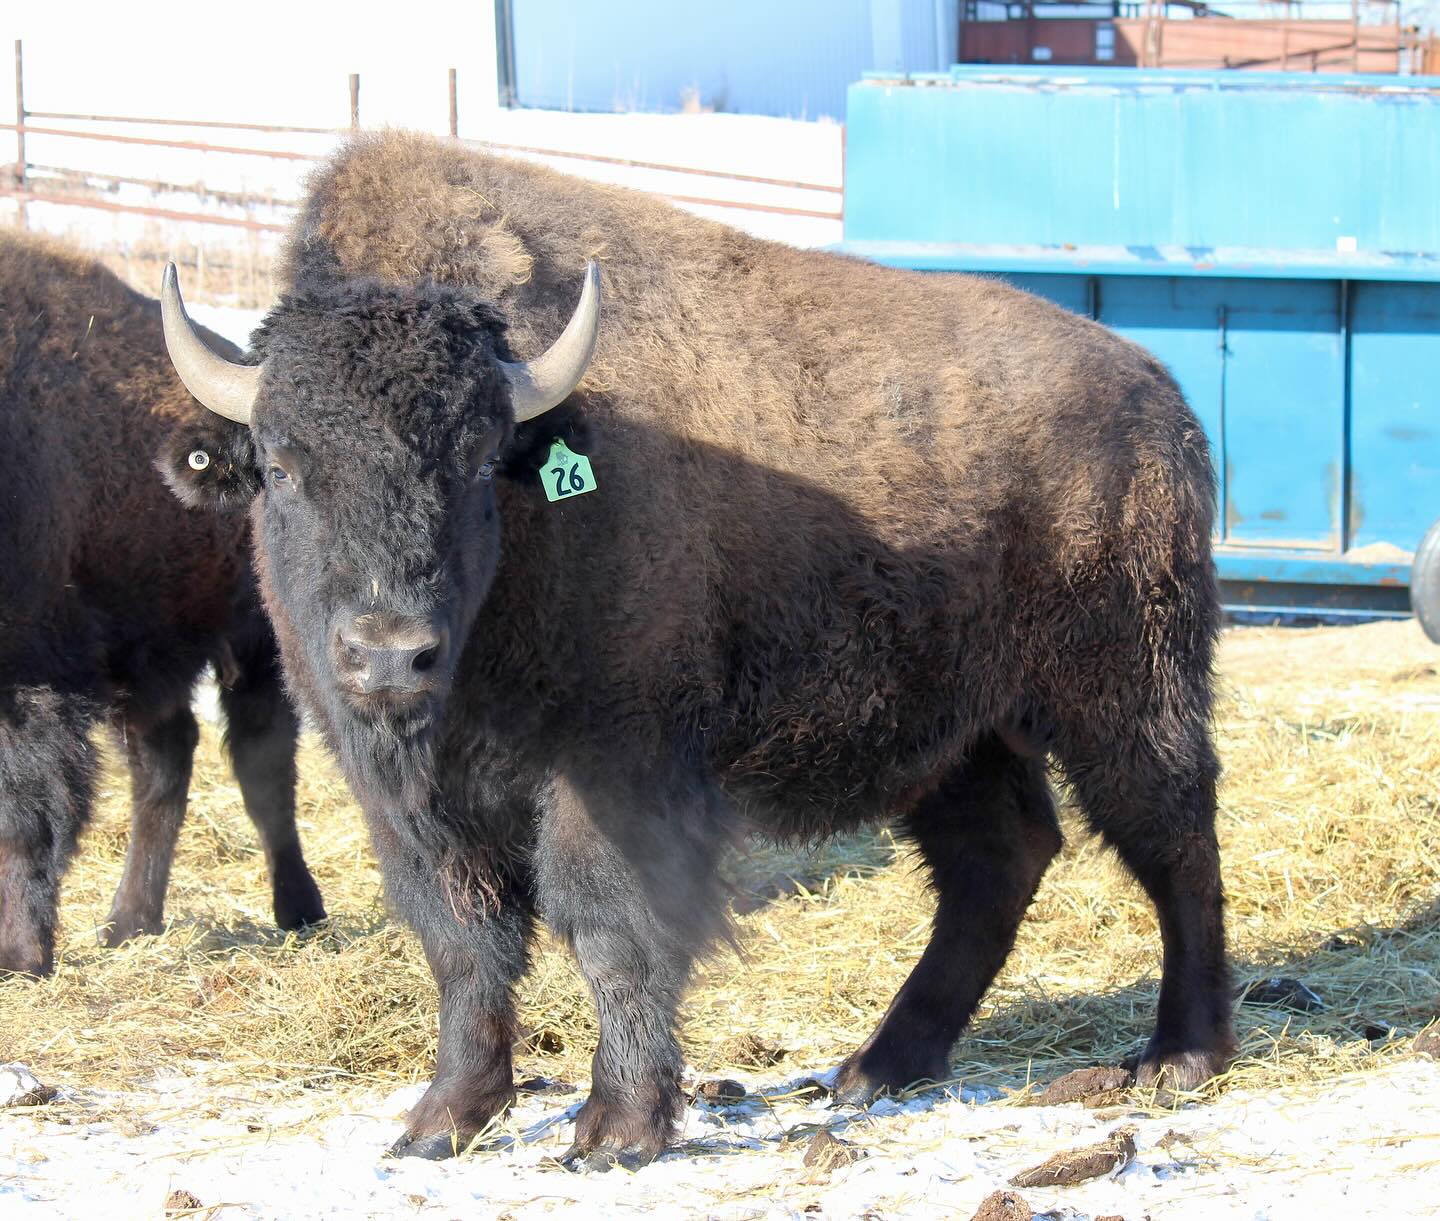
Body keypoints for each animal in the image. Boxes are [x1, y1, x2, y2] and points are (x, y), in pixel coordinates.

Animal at [0, 232, 325, 977]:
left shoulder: (33, 679)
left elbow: (27, 816)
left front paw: (20, 955)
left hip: (252, 645)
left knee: (261, 767)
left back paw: (298, 909)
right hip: (147, 661)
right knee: (167, 763)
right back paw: (129, 923)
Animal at [161, 131, 1232, 1163]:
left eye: (476, 456)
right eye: (282, 465)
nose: (389, 653)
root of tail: (1164, 400)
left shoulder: (617, 765)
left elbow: (611, 929)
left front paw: (618, 1131)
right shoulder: (414, 802)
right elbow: (465, 942)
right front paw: (440, 1122)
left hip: (1124, 691)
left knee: (1171, 835)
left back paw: (1180, 1055)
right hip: (960, 731)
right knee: (999, 856)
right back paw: (877, 1069)